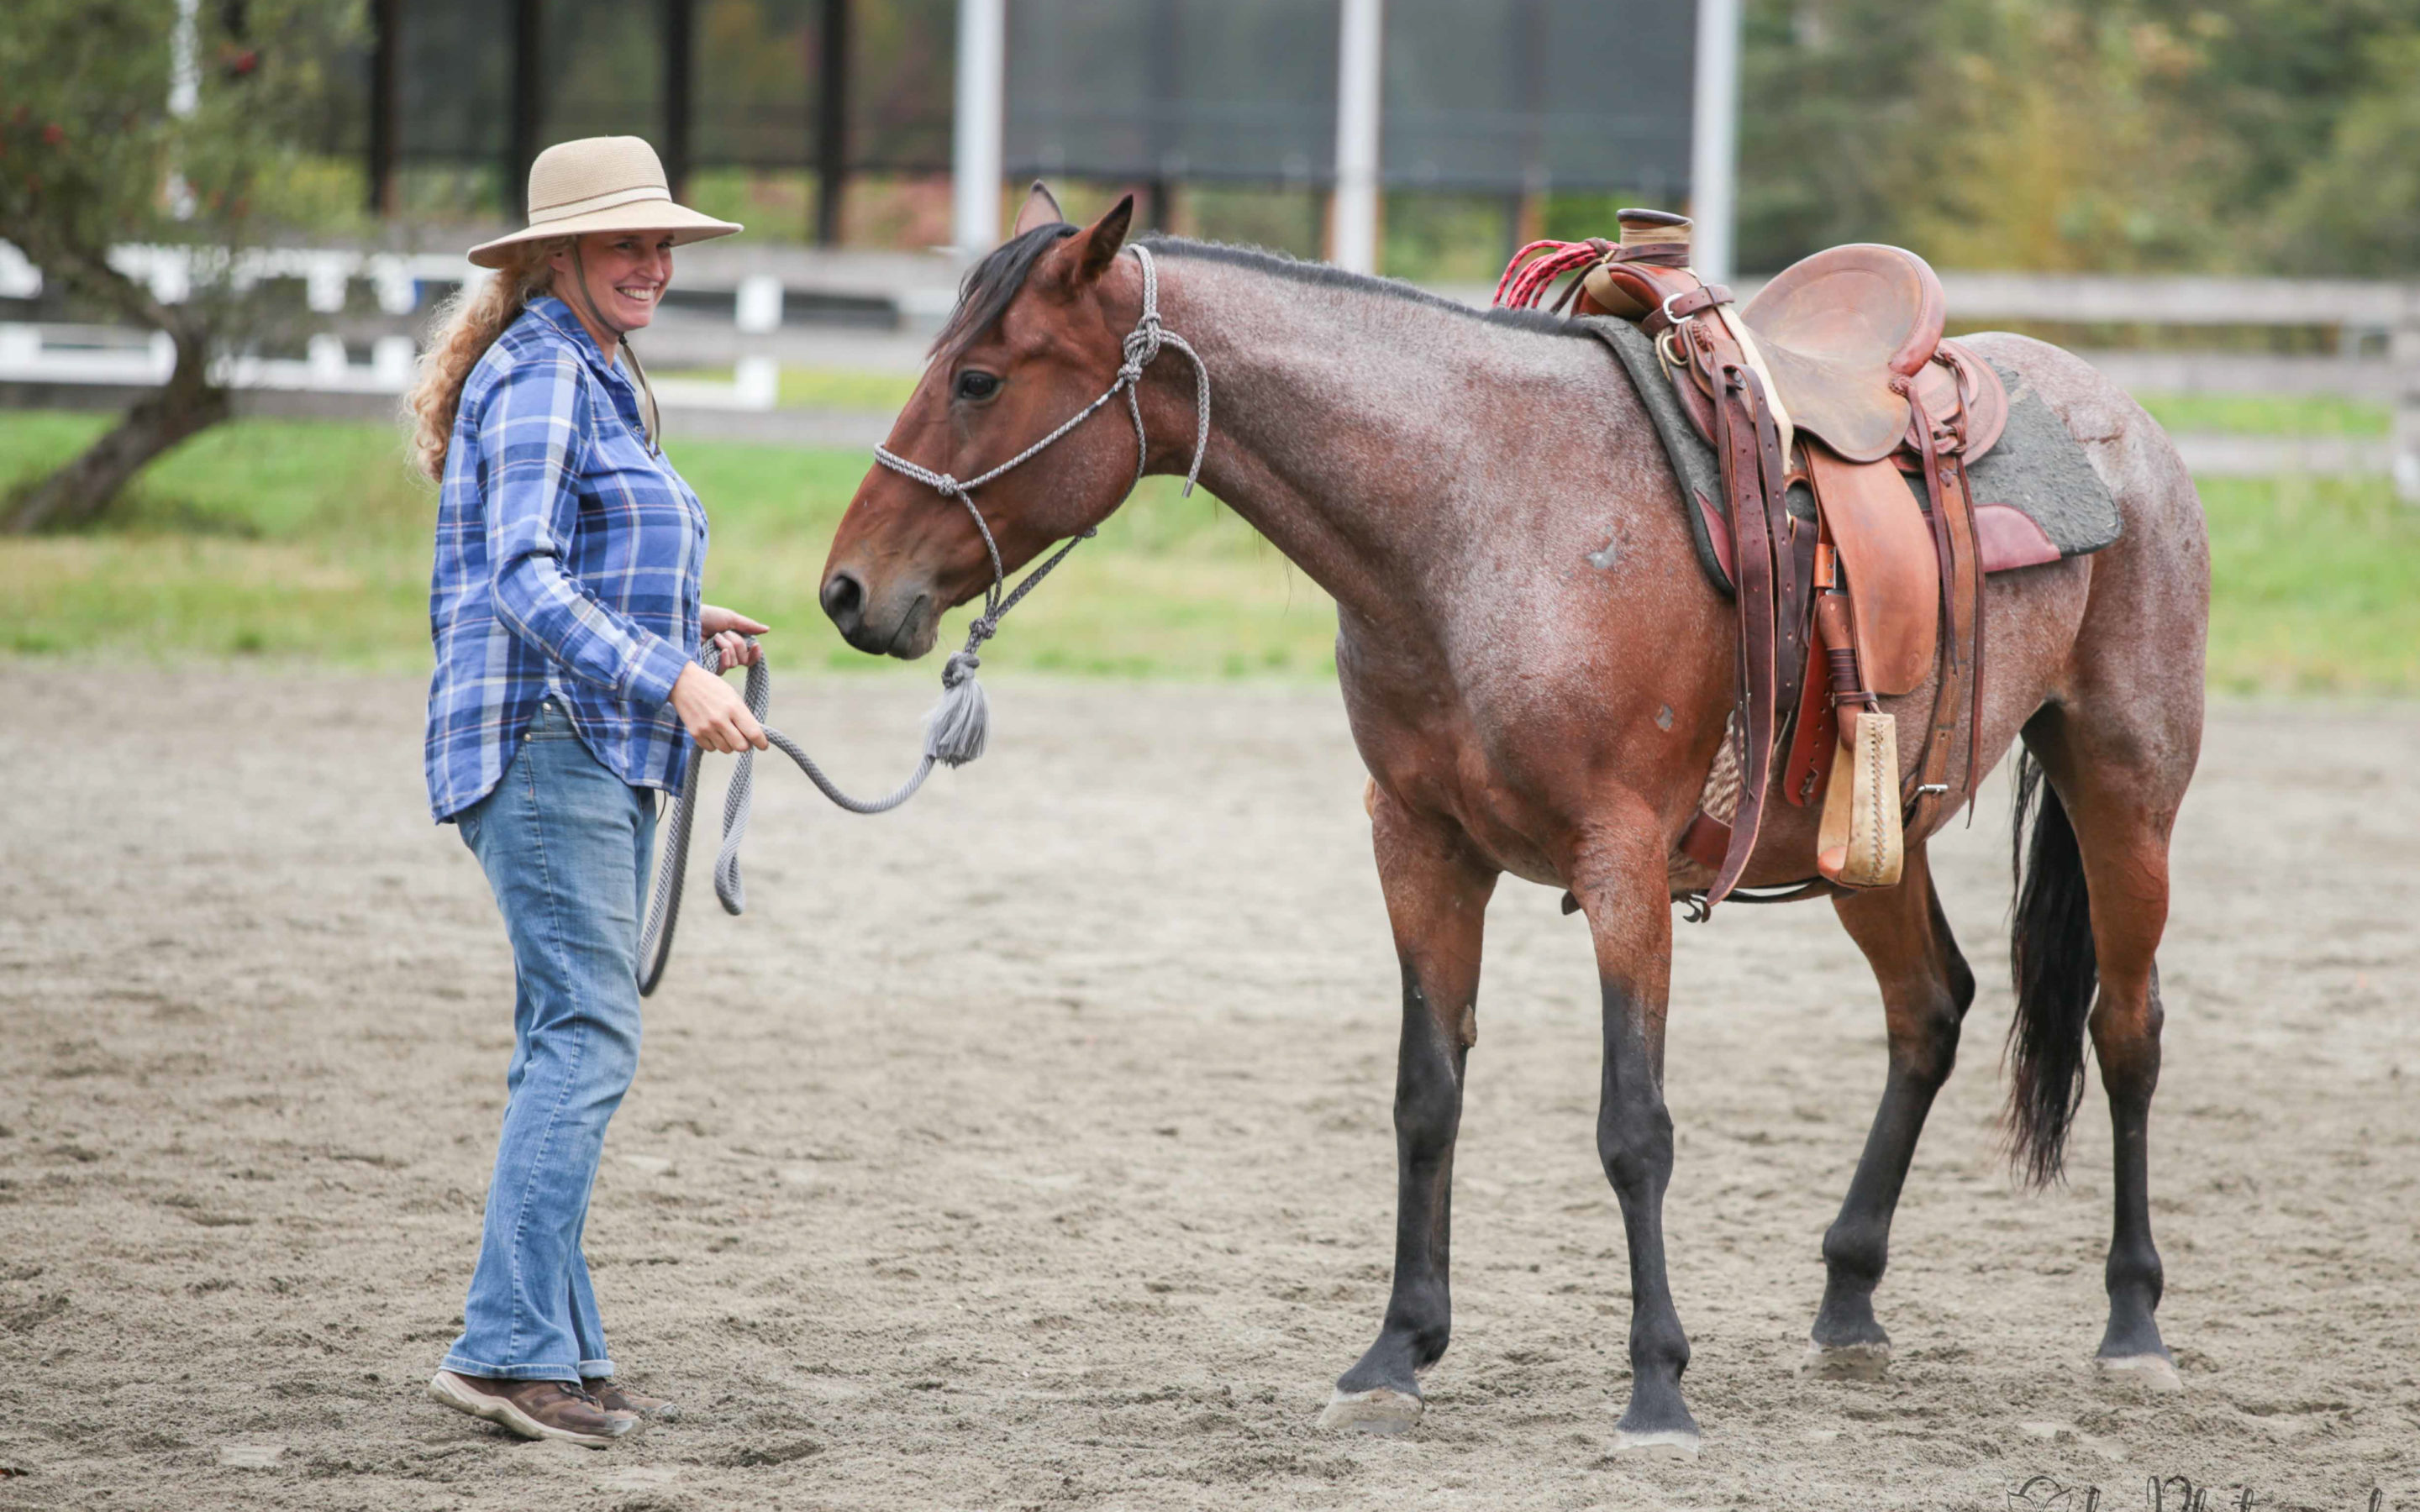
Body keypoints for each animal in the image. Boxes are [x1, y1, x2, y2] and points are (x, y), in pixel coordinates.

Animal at [818, 188, 2217, 1452]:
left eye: (981, 380)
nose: (846, 590)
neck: (1477, 519)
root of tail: (2130, 429)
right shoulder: (1418, 848)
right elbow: (1425, 1097)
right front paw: (1395, 1354)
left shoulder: (1623, 865)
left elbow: (1633, 1128)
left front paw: (1657, 1389)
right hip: (1872, 834)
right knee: (1929, 1009)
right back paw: (1849, 1300)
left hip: (2126, 786)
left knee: (2128, 1031)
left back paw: (2135, 1327)